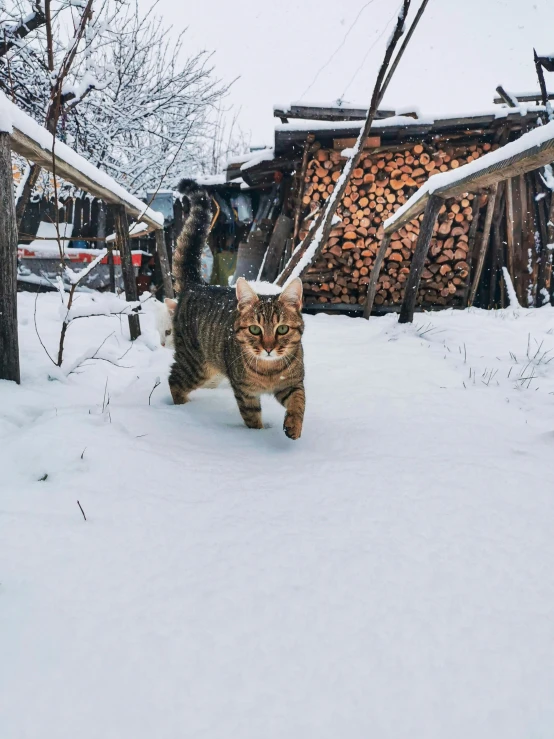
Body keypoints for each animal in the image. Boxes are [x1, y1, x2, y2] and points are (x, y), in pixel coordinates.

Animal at [168, 180, 306, 442]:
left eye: (282, 329)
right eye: (255, 329)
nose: (269, 348)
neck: (270, 371)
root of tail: (197, 285)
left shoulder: (292, 384)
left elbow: (298, 403)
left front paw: (293, 426)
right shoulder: (245, 392)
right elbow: (252, 418)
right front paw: (258, 437)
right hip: (197, 366)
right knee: (174, 380)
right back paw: (181, 410)